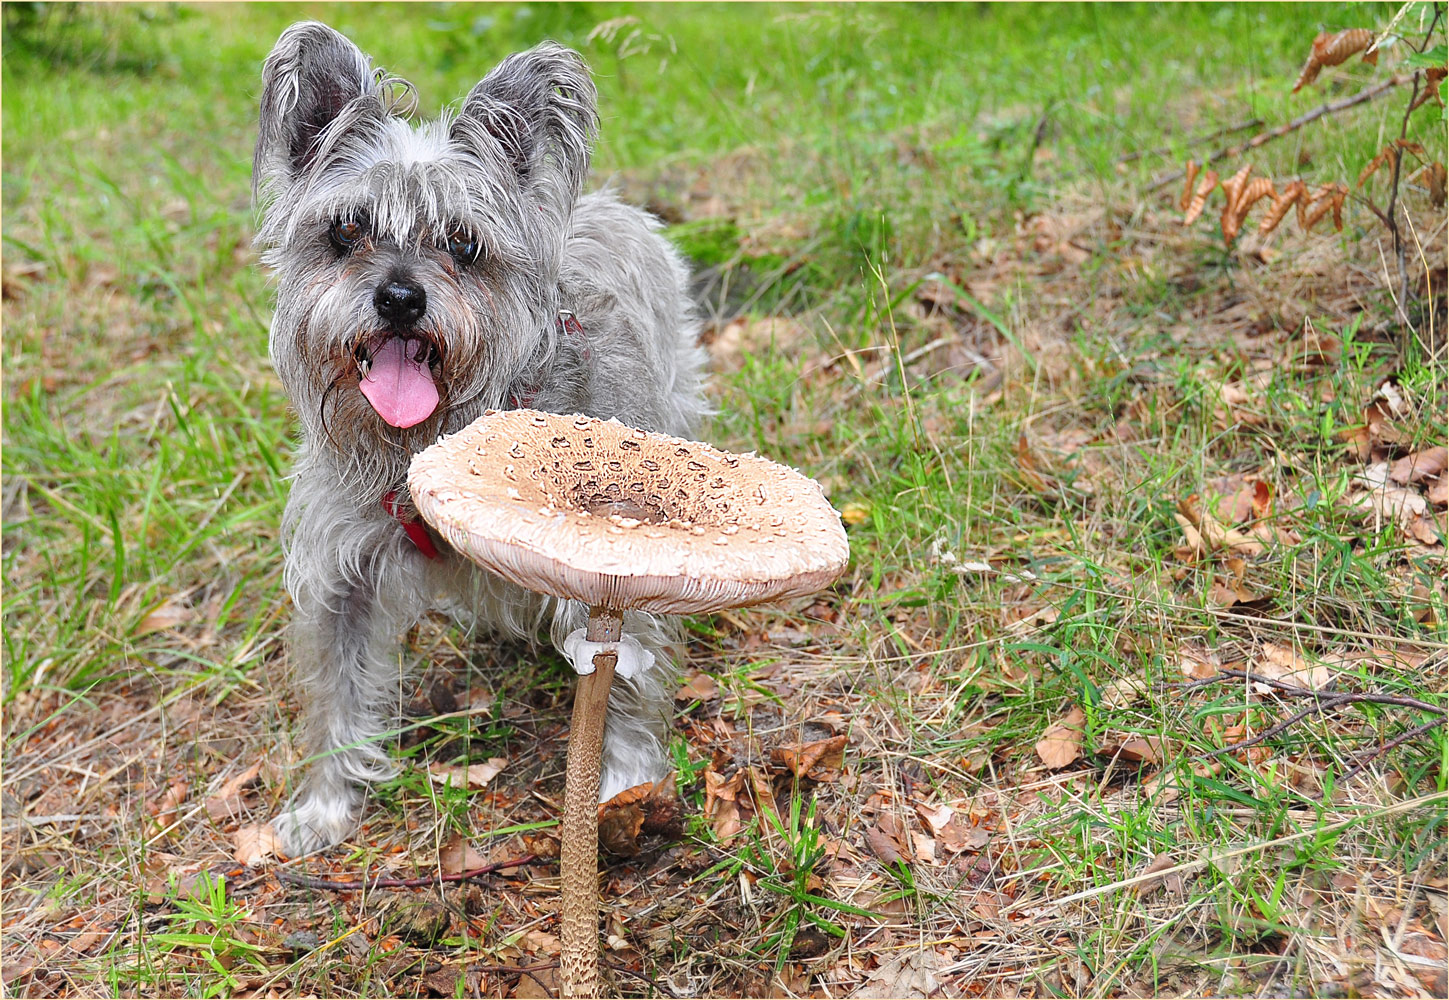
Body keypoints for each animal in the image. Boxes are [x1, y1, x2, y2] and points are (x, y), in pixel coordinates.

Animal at [253, 19, 707, 852]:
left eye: (462, 242)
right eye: (347, 229)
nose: (400, 297)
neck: (424, 444)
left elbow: (627, 682)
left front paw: (626, 784)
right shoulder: (341, 579)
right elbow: (336, 696)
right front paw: (325, 805)